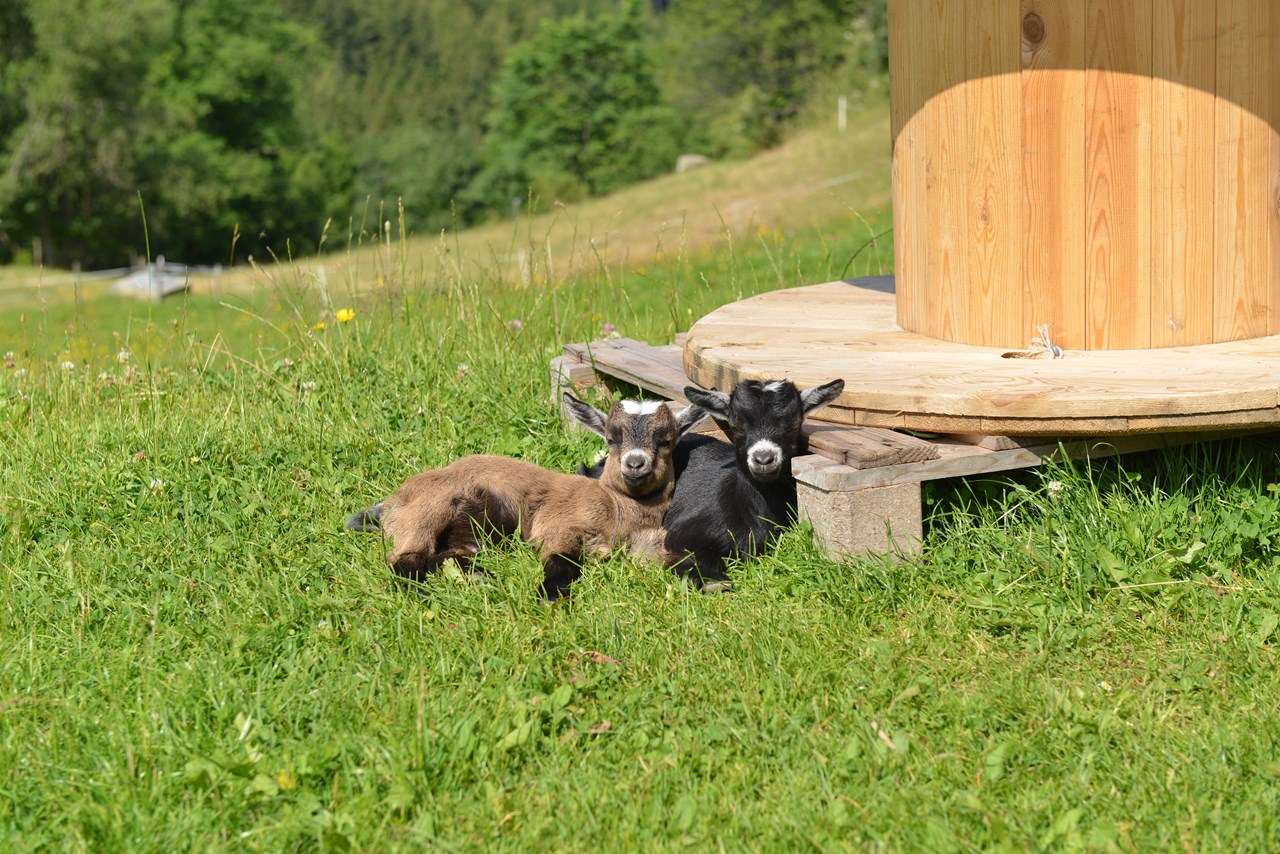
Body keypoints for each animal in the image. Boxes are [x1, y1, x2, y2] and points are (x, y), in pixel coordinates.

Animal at [346, 392, 705, 600]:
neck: (617, 511)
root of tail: (390, 503)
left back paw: (482, 577)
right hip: (427, 508)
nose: (634, 464)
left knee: (444, 556)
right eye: (611, 438)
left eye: (666, 440)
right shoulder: (558, 525)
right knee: (405, 559)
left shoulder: (649, 547)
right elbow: (562, 564)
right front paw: (546, 597)